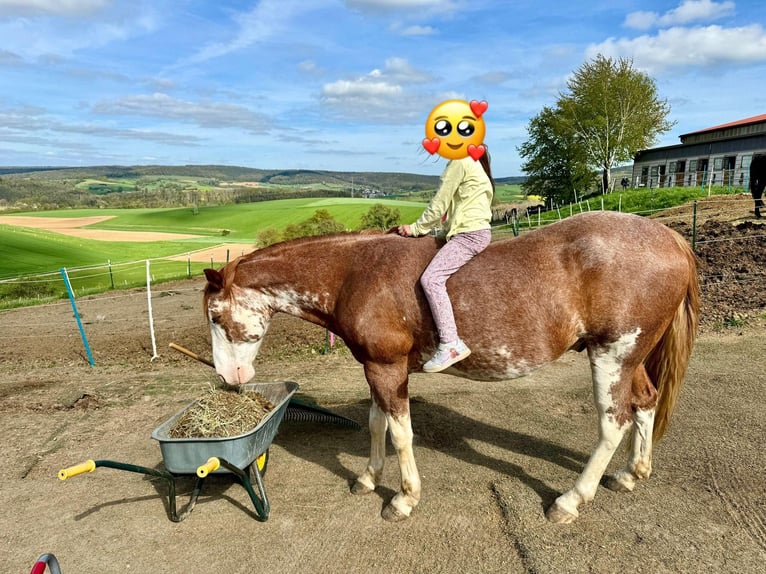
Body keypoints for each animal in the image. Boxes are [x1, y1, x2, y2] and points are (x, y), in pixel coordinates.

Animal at [202, 211, 699, 524]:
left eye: (215, 316)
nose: (228, 379)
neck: (354, 272)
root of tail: (669, 237)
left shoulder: (387, 368)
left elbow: (400, 432)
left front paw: (404, 499)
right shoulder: (376, 367)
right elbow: (376, 423)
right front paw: (368, 478)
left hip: (612, 356)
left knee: (613, 421)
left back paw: (571, 501)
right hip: (629, 356)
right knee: (645, 403)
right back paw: (632, 474)